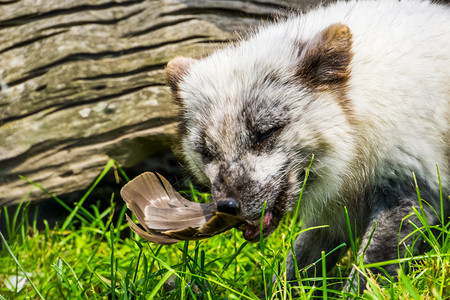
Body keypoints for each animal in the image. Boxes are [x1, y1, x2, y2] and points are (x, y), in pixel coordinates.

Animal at [165, 0, 450, 290]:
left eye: (265, 132)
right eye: (206, 151)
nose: (227, 206)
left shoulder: (409, 191)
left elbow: (366, 275)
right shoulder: (334, 214)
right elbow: (296, 267)